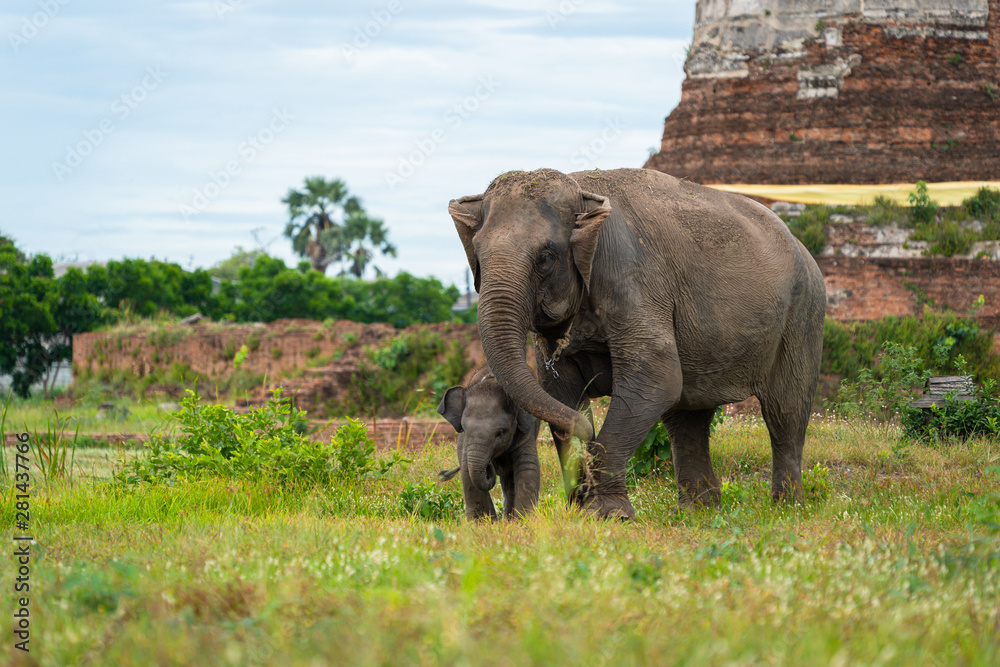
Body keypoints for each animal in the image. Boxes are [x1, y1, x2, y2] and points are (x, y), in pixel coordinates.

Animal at [437, 364, 542, 520]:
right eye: (464, 429)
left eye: (500, 433)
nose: (489, 464)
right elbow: (467, 471)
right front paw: (481, 523)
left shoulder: (525, 432)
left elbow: (527, 467)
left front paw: (525, 521)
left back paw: (508, 520)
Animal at [447, 167, 826, 519]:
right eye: (477, 254)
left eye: (545, 257)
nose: (587, 433)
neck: (582, 192)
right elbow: (559, 392)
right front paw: (581, 507)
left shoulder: (633, 279)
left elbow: (657, 377)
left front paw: (606, 515)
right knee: (687, 418)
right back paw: (697, 512)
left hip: (803, 313)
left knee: (784, 410)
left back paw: (786, 508)